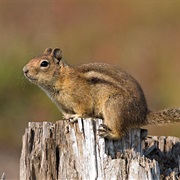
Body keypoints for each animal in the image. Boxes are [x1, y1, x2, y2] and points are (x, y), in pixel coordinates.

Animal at [23, 47, 179, 139]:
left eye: (44, 63)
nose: (24, 70)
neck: (62, 78)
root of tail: (142, 114)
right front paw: (67, 117)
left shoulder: (82, 99)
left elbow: (83, 111)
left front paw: (75, 116)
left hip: (114, 106)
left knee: (121, 133)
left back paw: (110, 134)